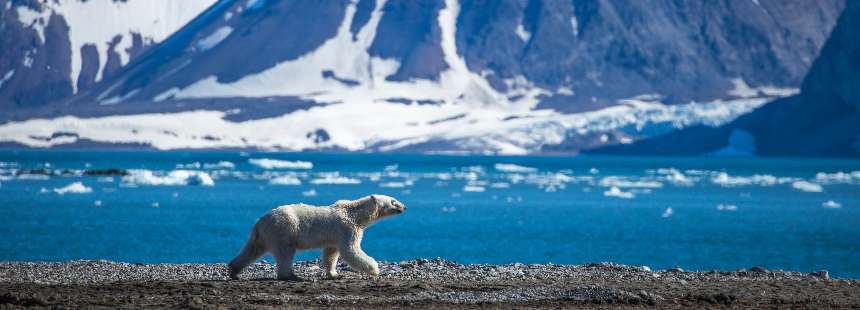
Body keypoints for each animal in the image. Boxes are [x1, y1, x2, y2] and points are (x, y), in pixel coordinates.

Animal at [227, 195, 404, 280]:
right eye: (393, 201)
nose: (404, 206)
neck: (354, 214)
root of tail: (260, 221)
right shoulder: (347, 228)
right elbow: (351, 250)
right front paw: (375, 269)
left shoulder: (335, 235)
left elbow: (331, 253)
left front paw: (334, 274)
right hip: (285, 229)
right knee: (285, 252)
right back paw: (290, 275)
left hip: (263, 234)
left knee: (252, 250)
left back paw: (234, 270)